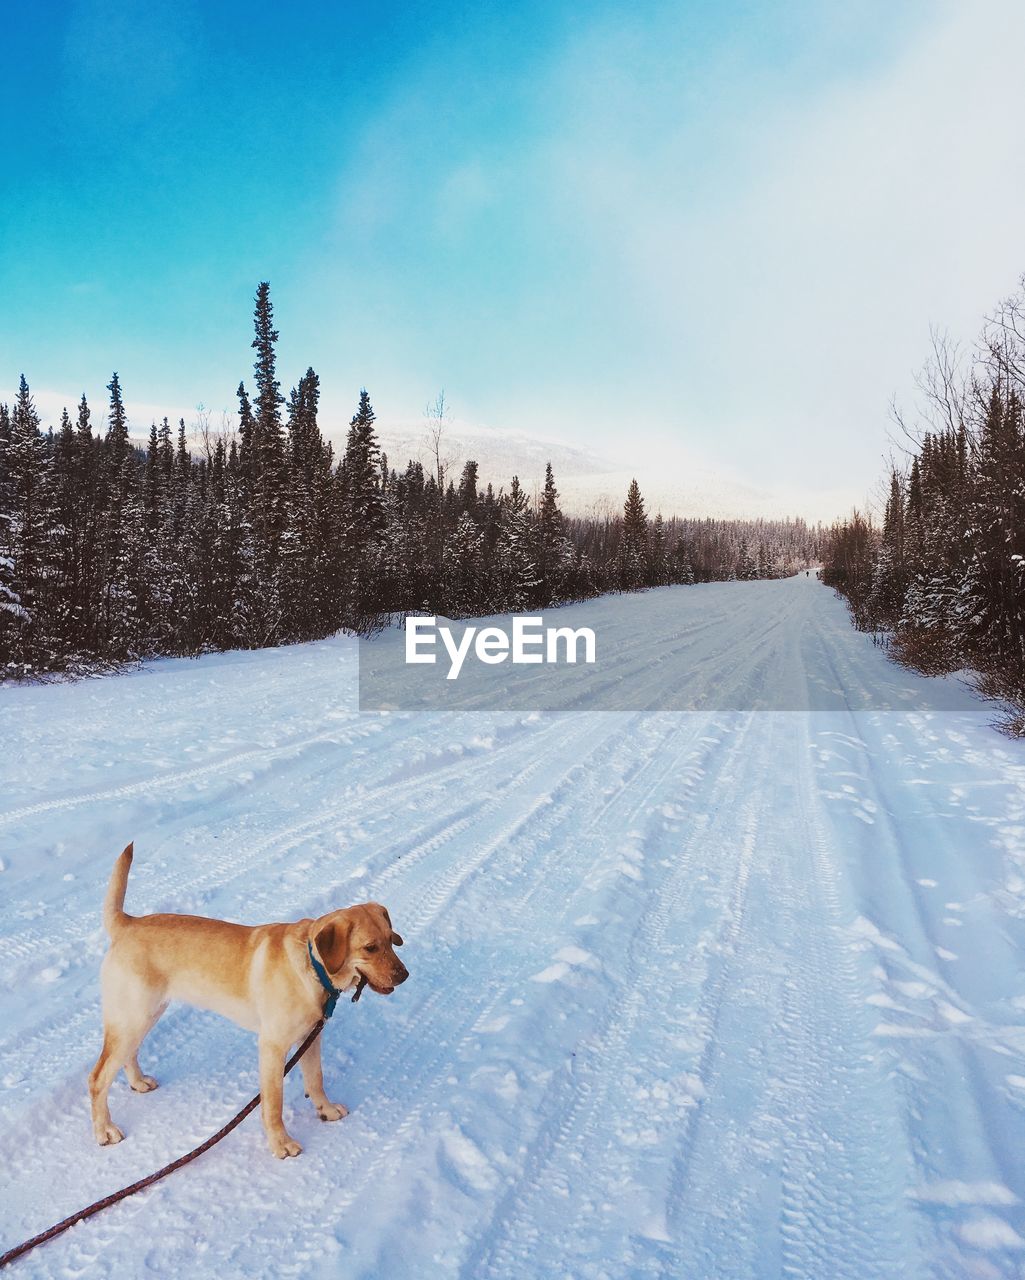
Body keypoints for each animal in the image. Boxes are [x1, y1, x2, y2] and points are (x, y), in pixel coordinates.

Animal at [88, 844, 406, 1157]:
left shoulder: (311, 1038)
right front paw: (281, 1144)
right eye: (370, 948)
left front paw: (325, 1110)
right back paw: (105, 1130)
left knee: (127, 1056)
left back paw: (138, 1082)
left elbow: (316, 1080)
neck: (313, 966)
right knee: (98, 1078)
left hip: (142, 1016)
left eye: (391, 939)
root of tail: (127, 923)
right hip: (133, 1017)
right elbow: (273, 1104)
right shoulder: (273, 1047)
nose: (405, 975)